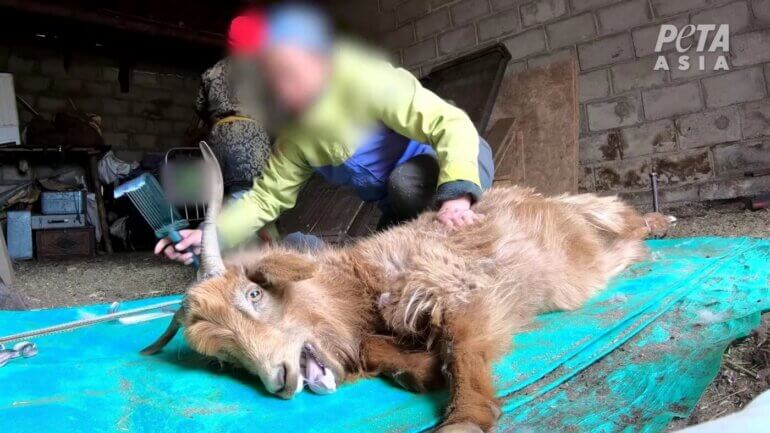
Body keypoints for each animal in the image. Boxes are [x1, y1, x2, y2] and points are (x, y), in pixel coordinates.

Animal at [143, 142, 672, 433]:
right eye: (221, 360)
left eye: (253, 295)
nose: (279, 379)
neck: (359, 279)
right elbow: (376, 347)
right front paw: (418, 371)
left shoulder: (457, 289)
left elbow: (461, 348)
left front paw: (462, 419)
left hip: (593, 211)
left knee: (624, 218)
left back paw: (661, 221)